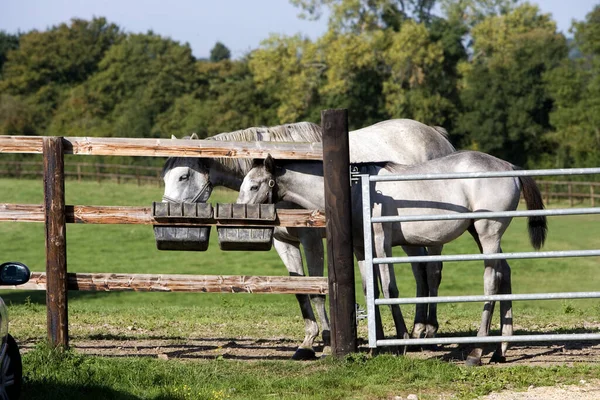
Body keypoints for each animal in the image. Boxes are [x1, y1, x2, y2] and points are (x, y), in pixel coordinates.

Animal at [161, 119, 454, 360]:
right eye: (165, 176)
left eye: (184, 175)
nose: (166, 213)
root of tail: (436, 135)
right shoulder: (284, 243)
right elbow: (300, 290)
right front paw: (306, 343)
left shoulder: (312, 241)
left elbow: (317, 290)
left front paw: (326, 341)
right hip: (407, 235)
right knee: (420, 271)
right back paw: (417, 331)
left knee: (433, 271)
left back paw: (427, 331)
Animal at [237, 152, 548, 368]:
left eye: (254, 186)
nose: (239, 212)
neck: (356, 191)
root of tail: (509, 167)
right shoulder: (361, 249)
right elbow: (369, 289)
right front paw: (380, 343)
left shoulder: (380, 243)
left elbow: (389, 289)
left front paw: (402, 340)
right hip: (483, 236)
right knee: (505, 274)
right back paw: (500, 350)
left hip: (487, 233)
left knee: (491, 282)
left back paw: (476, 352)